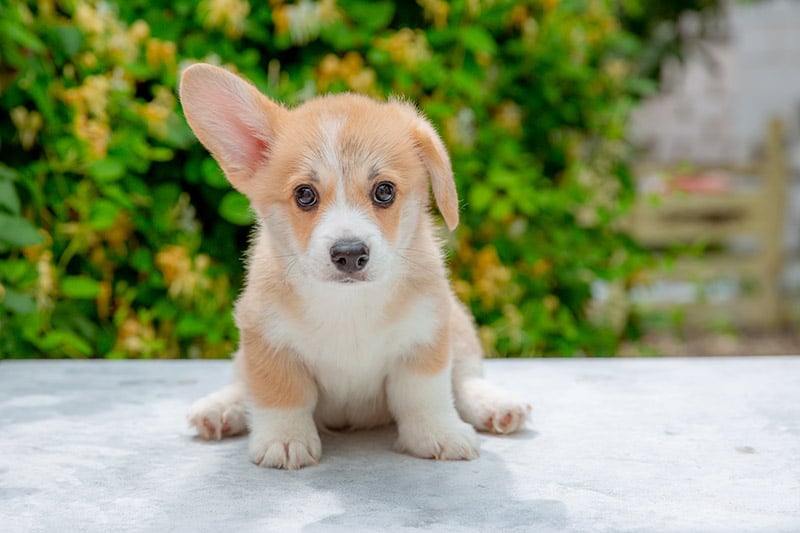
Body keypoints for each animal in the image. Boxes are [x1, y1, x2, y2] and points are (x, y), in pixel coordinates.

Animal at [181, 63, 532, 470]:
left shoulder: (426, 335)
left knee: (465, 377)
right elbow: (281, 395)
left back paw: (496, 405)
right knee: (242, 381)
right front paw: (285, 440)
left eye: (384, 191)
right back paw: (221, 409)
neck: (348, 304)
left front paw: (438, 433)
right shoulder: (266, 340)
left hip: (459, 326)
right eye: (305, 194)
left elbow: (425, 393)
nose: (349, 254)